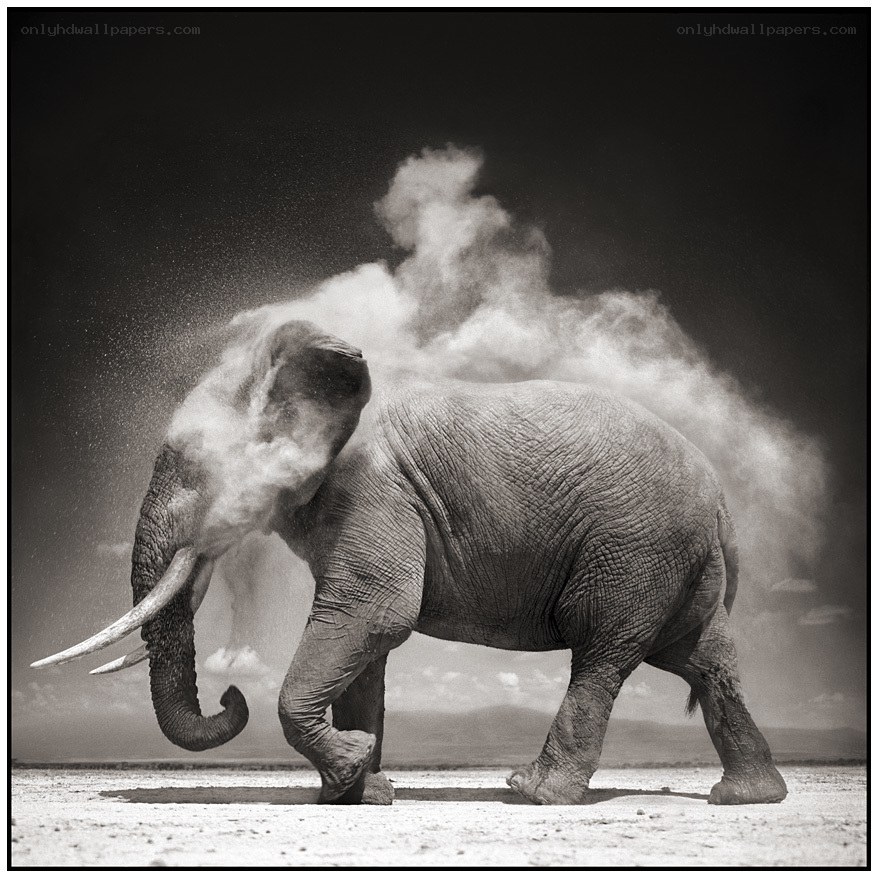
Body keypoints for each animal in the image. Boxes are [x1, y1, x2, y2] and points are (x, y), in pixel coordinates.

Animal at [33, 318, 788, 807]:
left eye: (196, 470)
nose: (229, 695)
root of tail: (722, 501)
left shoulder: (376, 491)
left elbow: (375, 614)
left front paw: (350, 772)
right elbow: (366, 645)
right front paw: (360, 791)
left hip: (635, 548)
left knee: (603, 654)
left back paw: (533, 793)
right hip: (676, 560)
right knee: (703, 661)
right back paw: (746, 798)